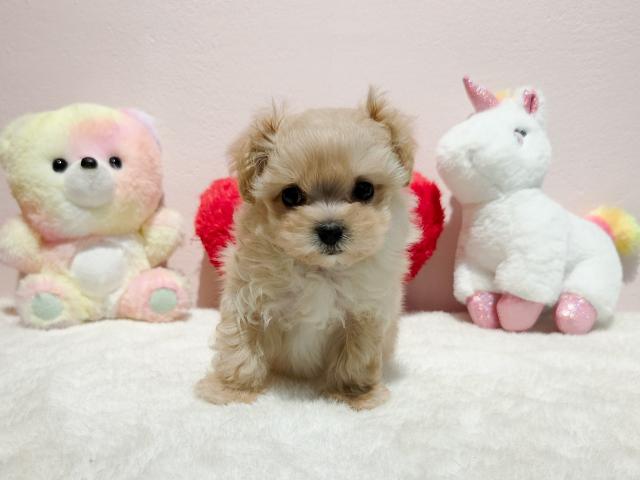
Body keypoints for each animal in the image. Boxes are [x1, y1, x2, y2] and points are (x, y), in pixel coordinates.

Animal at [196, 88, 418, 410]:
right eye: (291, 195)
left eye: (364, 189)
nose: (330, 230)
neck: (319, 269)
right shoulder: (246, 295)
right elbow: (239, 345)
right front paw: (230, 390)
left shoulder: (367, 309)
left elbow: (357, 354)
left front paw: (355, 394)